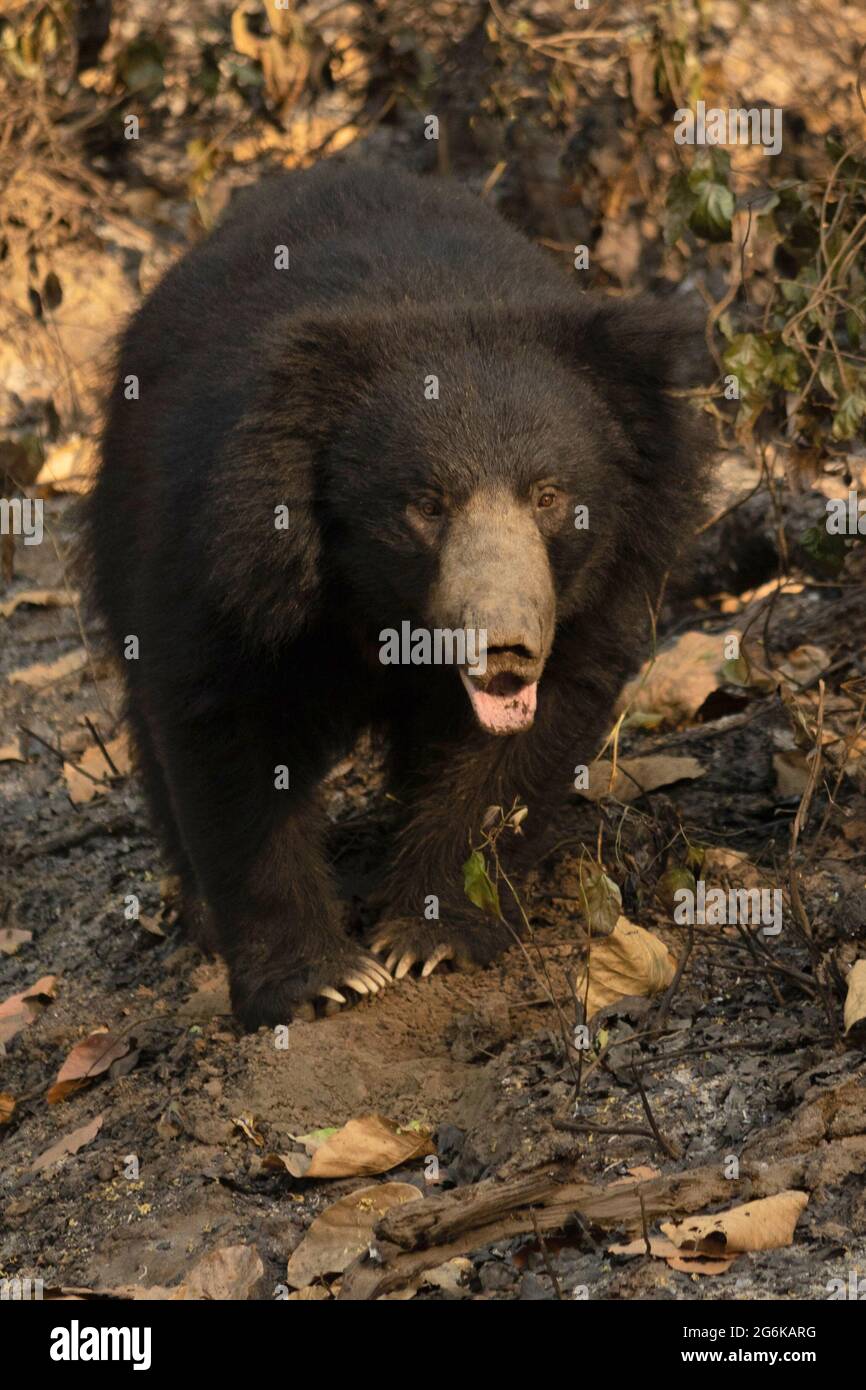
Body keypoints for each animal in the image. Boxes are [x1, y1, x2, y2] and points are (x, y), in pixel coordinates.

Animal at [84, 165, 717, 1034]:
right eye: (427, 504)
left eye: (550, 496)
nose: (505, 648)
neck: (384, 613)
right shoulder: (228, 561)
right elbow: (227, 733)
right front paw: (320, 980)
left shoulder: (595, 590)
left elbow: (517, 749)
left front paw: (431, 937)